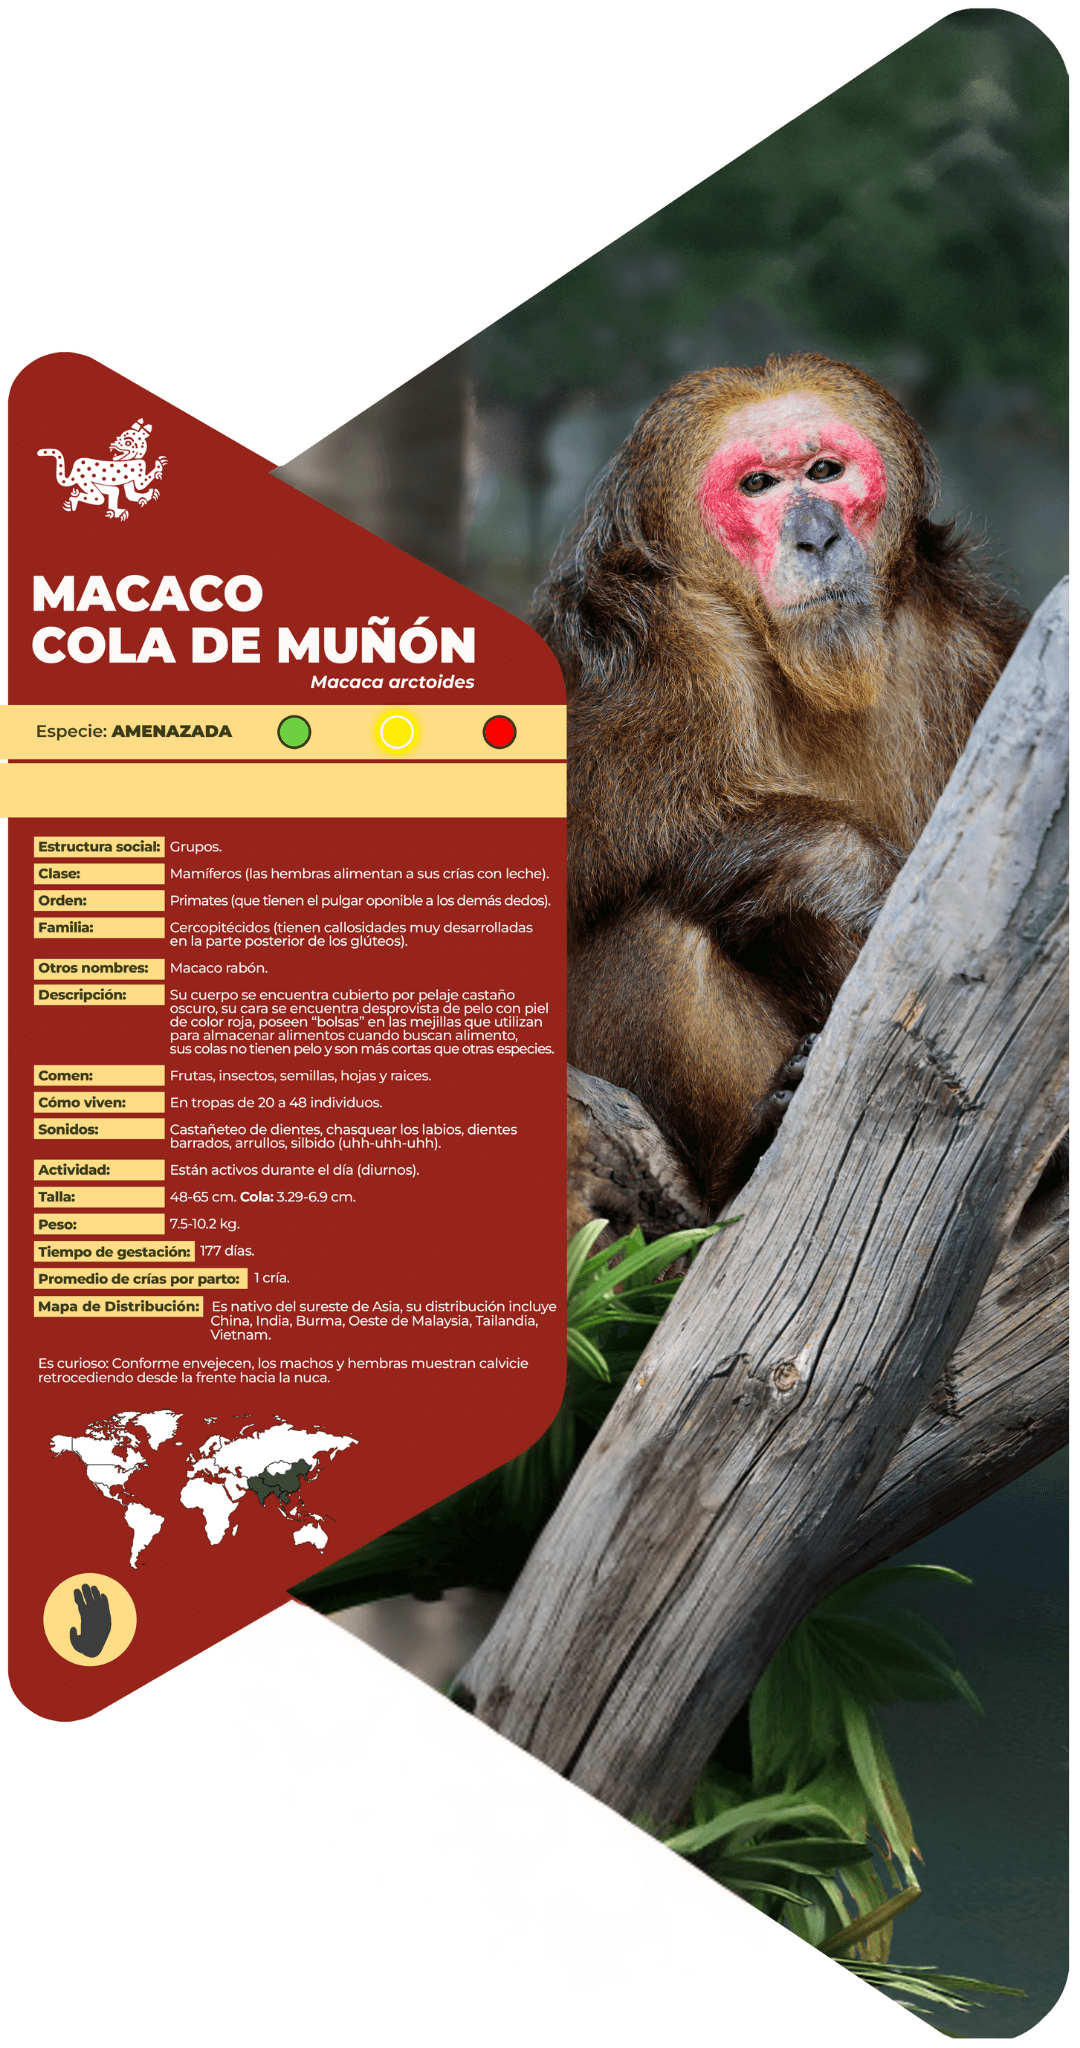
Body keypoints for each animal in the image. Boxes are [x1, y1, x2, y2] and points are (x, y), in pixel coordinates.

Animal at [535, 355, 1027, 1216]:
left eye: (824, 473)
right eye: (759, 485)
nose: (816, 535)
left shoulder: (970, 642)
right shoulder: (663, 653)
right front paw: (854, 882)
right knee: (660, 936)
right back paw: (744, 1162)